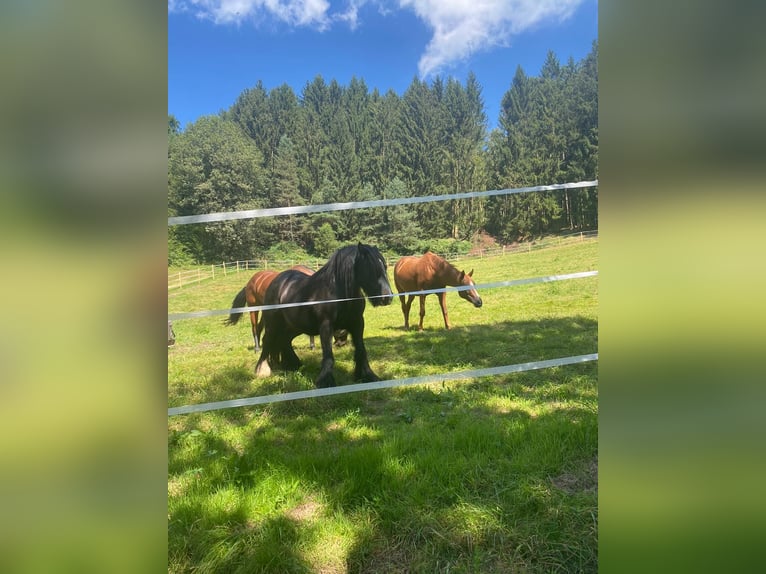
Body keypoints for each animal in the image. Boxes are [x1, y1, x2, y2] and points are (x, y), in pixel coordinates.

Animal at [258, 241, 392, 390]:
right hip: (273, 324)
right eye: (371, 268)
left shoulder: (357, 323)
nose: (387, 298)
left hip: (294, 326)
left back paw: (293, 365)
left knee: (284, 340)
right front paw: (325, 381)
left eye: (385, 266)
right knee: (267, 340)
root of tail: (277, 281)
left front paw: (367, 375)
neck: (339, 294)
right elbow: (328, 356)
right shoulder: (326, 326)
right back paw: (262, 370)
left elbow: (361, 351)